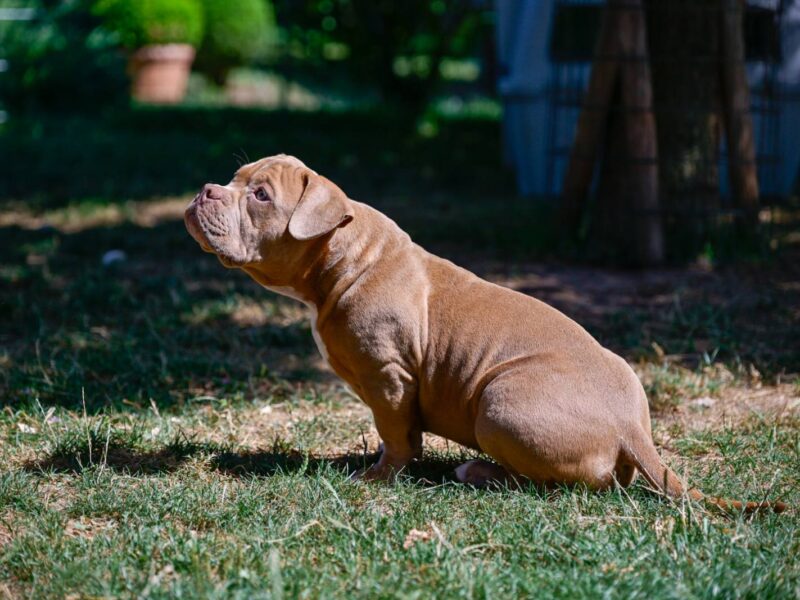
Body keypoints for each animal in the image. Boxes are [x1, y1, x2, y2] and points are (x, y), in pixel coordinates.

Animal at [188, 154, 788, 510]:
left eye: (261, 196)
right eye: (235, 180)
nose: (205, 190)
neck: (342, 254)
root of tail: (632, 427)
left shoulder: (390, 377)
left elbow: (398, 438)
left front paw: (378, 478)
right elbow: (394, 433)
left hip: (499, 404)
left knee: (559, 486)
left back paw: (479, 472)